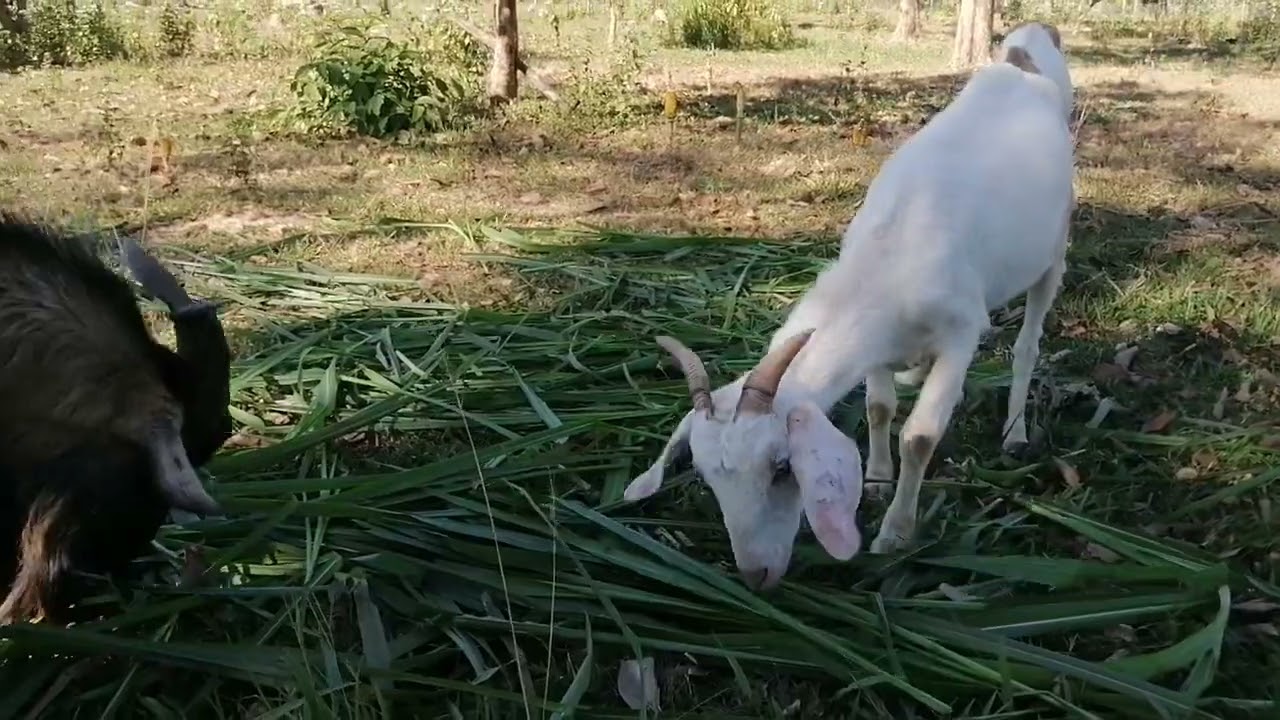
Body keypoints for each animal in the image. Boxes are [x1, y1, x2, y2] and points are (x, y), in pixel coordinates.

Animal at [624, 32, 1076, 591]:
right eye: (706, 477)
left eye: (782, 467)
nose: (755, 574)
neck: (891, 255)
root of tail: (1025, 49)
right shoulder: (878, 344)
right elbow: (878, 407)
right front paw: (878, 479)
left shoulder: (962, 329)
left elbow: (920, 435)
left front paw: (895, 533)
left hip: (1054, 248)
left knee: (1028, 343)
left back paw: (1015, 433)